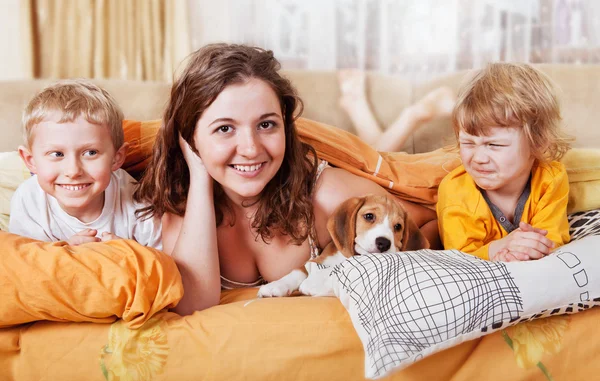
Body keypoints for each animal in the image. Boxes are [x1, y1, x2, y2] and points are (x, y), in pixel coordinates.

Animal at [255, 194, 428, 298]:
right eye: (369, 216)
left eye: (398, 227)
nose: (383, 243)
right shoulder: (316, 260)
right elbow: (298, 271)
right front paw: (275, 286)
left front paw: (313, 283)